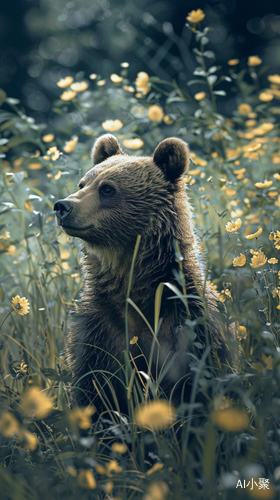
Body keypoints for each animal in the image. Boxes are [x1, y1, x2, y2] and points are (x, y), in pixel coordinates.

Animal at [53, 135, 231, 412]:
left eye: (107, 189)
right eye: (83, 183)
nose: (62, 206)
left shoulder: (190, 327)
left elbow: (193, 390)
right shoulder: (99, 332)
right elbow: (96, 391)